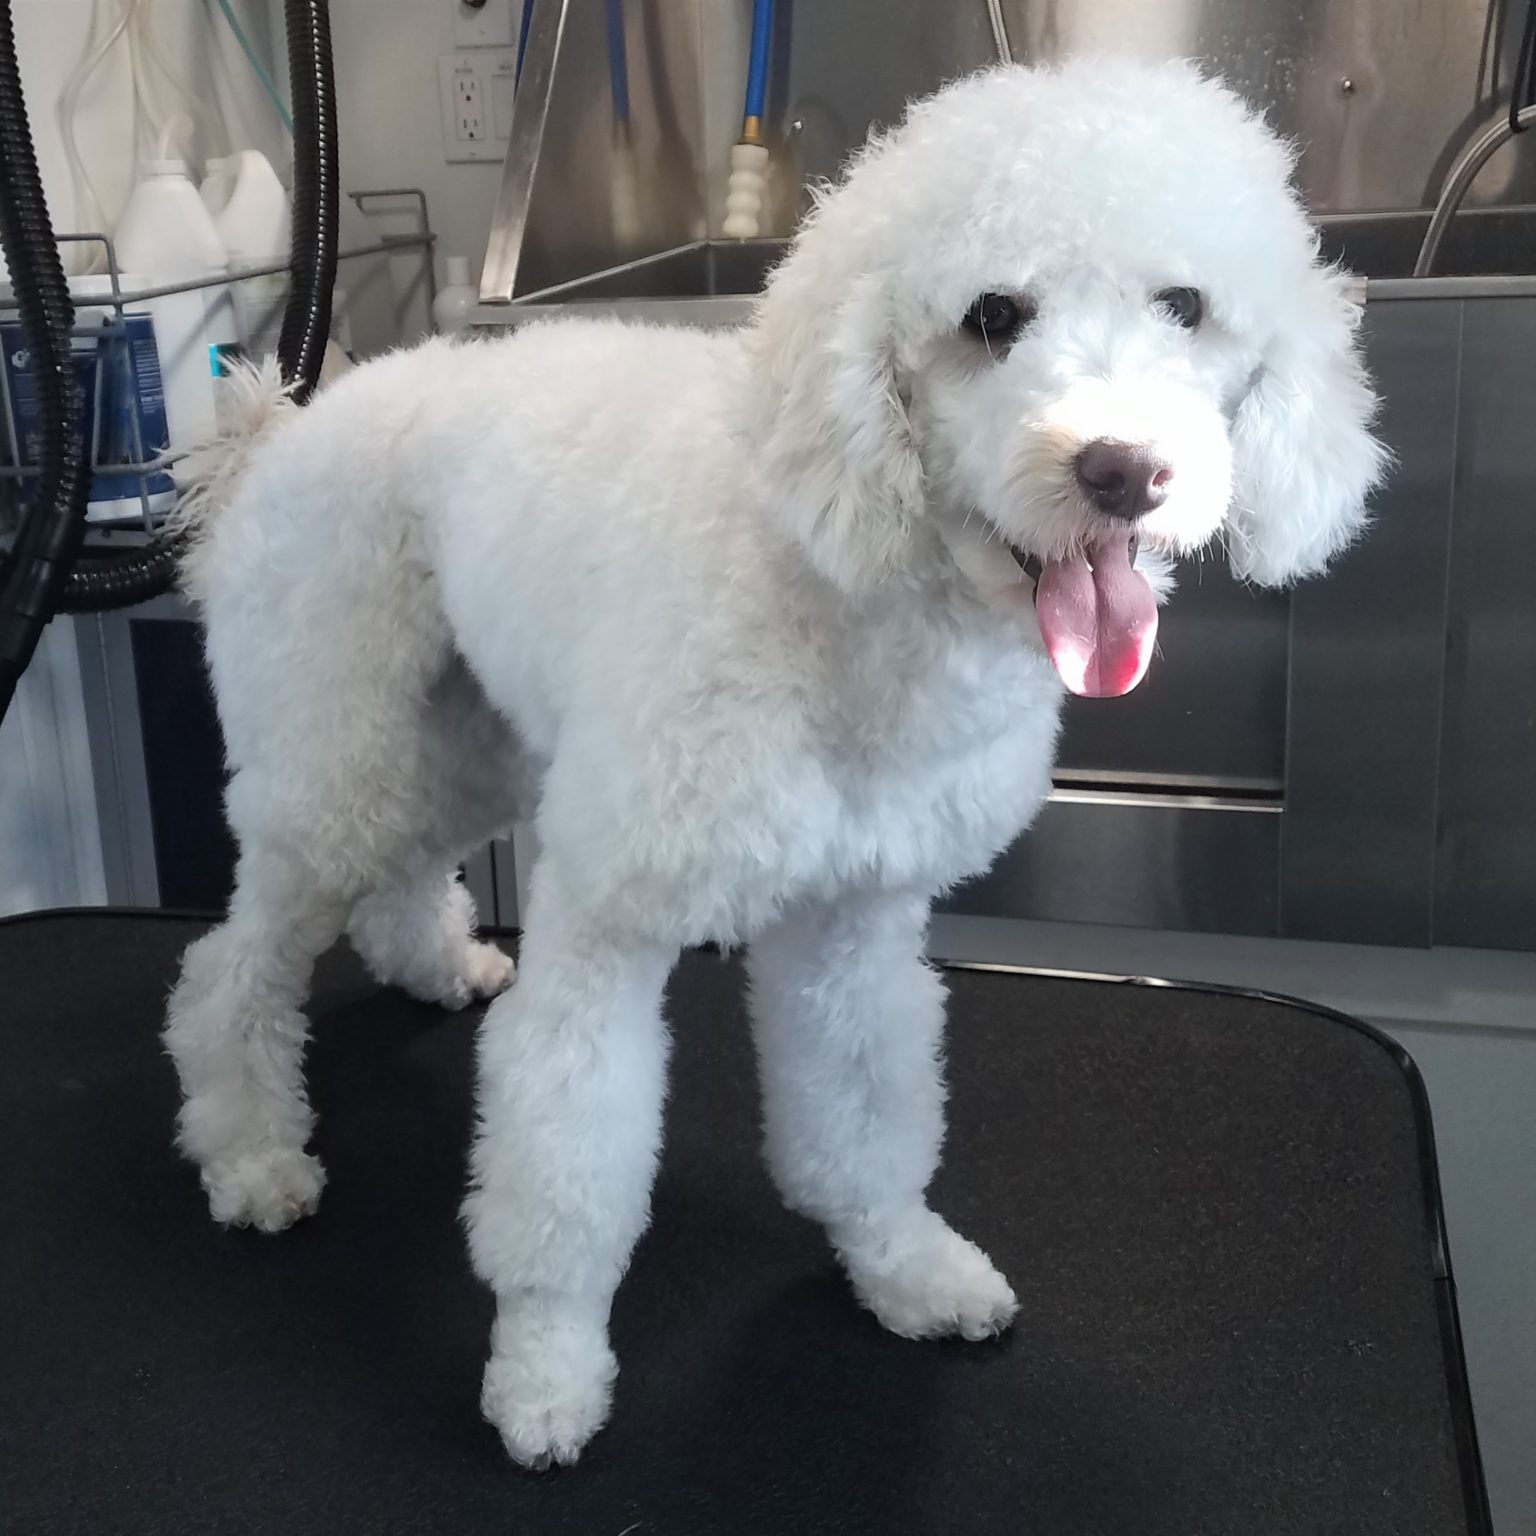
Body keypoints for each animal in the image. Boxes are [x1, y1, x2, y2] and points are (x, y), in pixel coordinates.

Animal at [163, 57, 1384, 1468]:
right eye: (992, 316)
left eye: (1185, 307)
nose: (1125, 470)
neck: (846, 593)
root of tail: (280, 429)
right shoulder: (610, 924)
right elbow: (565, 1169)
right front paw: (546, 1373)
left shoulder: (854, 921)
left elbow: (862, 1117)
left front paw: (904, 1265)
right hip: (339, 745)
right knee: (231, 971)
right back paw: (252, 1156)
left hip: (465, 741)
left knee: (403, 878)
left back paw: (434, 964)